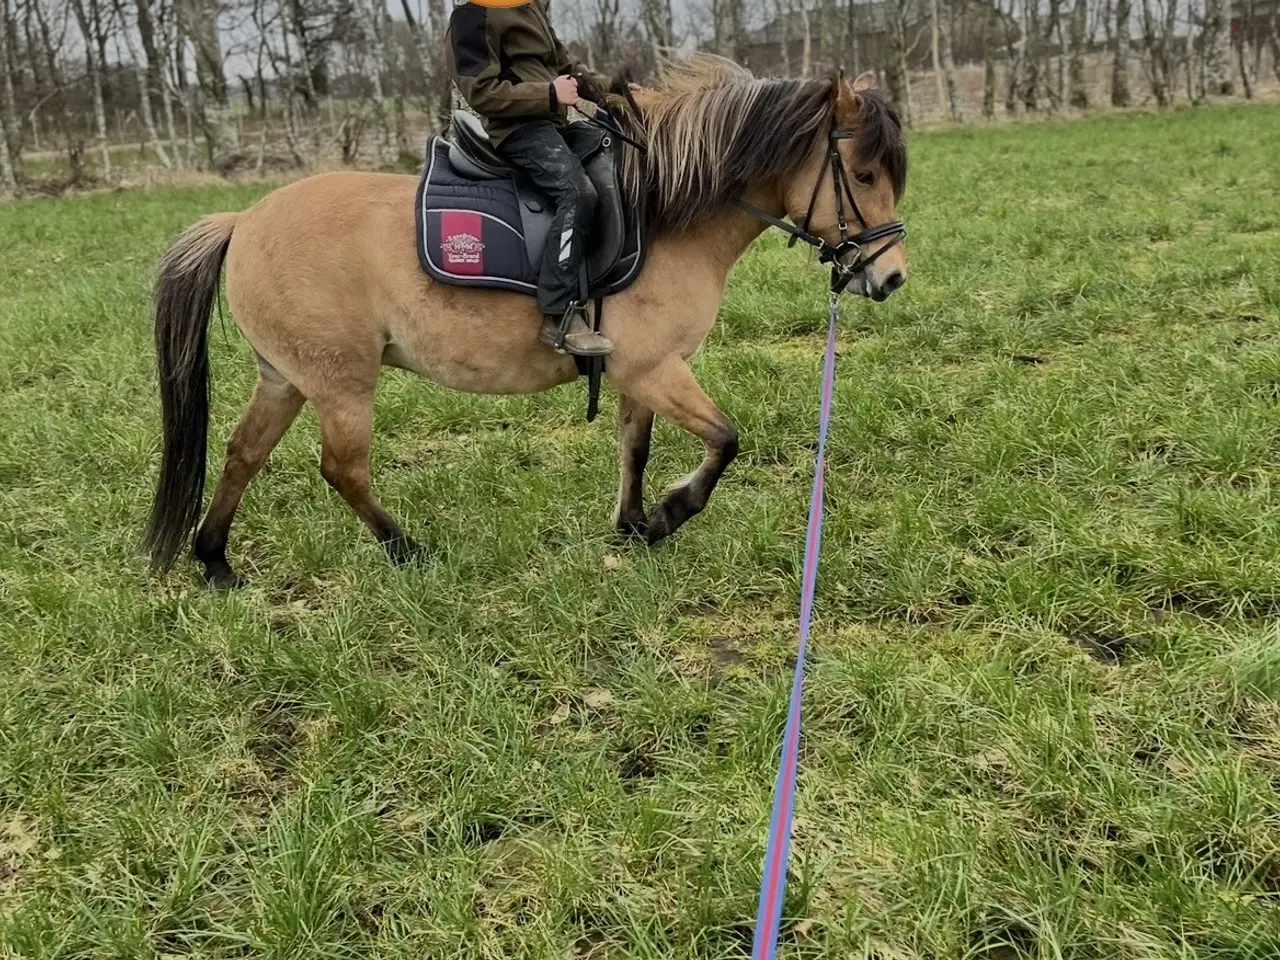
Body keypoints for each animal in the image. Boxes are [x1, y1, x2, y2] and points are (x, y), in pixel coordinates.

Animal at [141, 56, 909, 588]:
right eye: (864, 174)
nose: (891, 277)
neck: (661, 210)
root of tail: (243, 220)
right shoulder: (656, 368)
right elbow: (725, 441)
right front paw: (669, 514)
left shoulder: (637, 373)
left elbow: (634, 450)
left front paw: (632, 526)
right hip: (340, 382)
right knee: (343, 468)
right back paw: (407, 550)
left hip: (285, 376)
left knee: (243, 453)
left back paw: (216, 562)